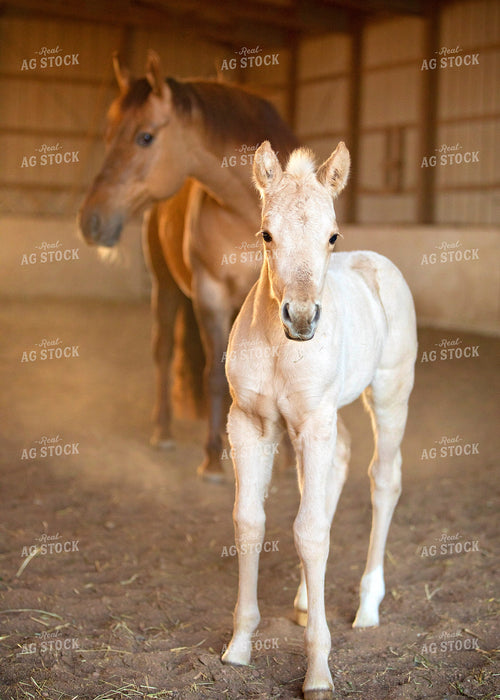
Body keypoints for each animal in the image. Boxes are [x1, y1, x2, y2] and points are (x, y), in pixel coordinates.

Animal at [78, 51, 299, 480]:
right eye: (109, 135)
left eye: (145, 136)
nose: (90, 221)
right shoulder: (210, 294)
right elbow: (213, 374)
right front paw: (213, 458)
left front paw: (288, 462)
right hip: (165, 288)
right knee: (163, 351)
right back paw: (163, 431)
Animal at [221, 141, 417, 699]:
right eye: (266, 233)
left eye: (332, 235)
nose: (303, 318)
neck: (278, 347)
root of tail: (378, 263)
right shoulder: (251, 422)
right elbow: (250, 520)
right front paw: (239, 644)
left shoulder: (313, 423)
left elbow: (309, 532)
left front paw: (318, 671)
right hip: (328, 416)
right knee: (340, 466)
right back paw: (309, 601)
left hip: (390, 393)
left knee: (384, 479)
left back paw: (368, 605)